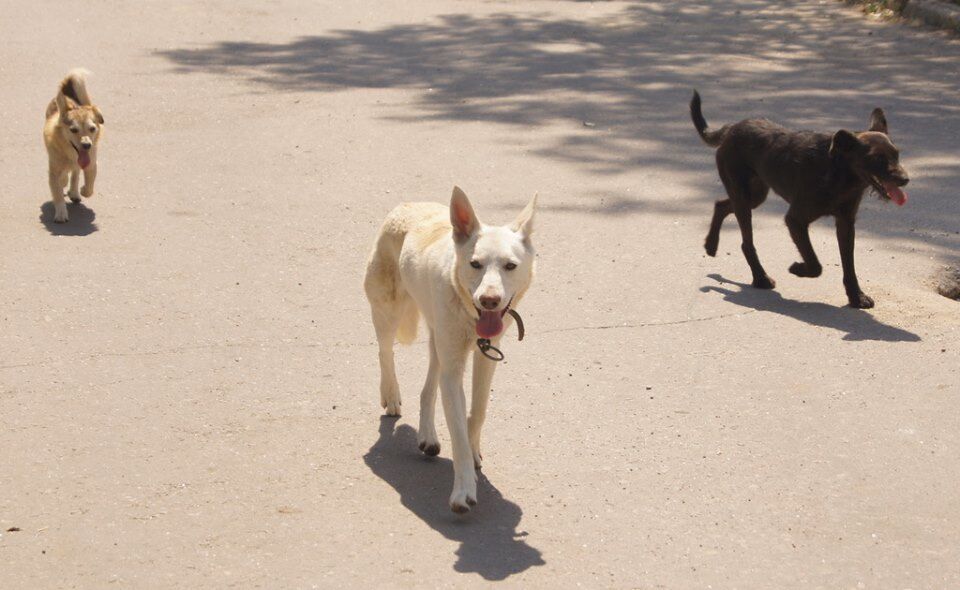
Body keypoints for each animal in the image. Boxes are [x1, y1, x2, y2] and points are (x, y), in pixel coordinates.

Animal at [43, 69, 104, 225]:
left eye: (92, 129)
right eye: (73, 130)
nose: (86, 145)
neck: (72, 155)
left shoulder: (91, 164)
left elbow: (89, 186)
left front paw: (82, 190)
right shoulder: (54, 170)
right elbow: (58, 194)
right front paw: (61, 213)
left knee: (76, 173)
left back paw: (75, 192)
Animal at [364, 187, 536, 516]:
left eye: (510, 266)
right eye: (475, 263)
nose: (490, 300)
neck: (470, 314)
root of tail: (407, 205)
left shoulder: (485, 357)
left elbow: (477, 411)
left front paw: (474, 450)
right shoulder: (454, 370)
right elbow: (457, 434)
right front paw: (464, 490)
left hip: (438, 340)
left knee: (428, 388)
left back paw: (427, 437)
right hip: (388, 311)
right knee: (384, 351)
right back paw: (390, 394)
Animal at [688, 92, 908, 310]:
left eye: (897, 154)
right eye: (877, 159)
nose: (906, 179)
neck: (838, 174)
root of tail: (731, 128)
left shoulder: (846, 223)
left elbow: (849, 266)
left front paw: (856, 297)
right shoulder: (795, 220)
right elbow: (815, 264)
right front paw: (798, 268)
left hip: (755, 195)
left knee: (721, 205)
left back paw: (711, 245)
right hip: (743, 196)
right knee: (746, 242)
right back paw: (760, 278)